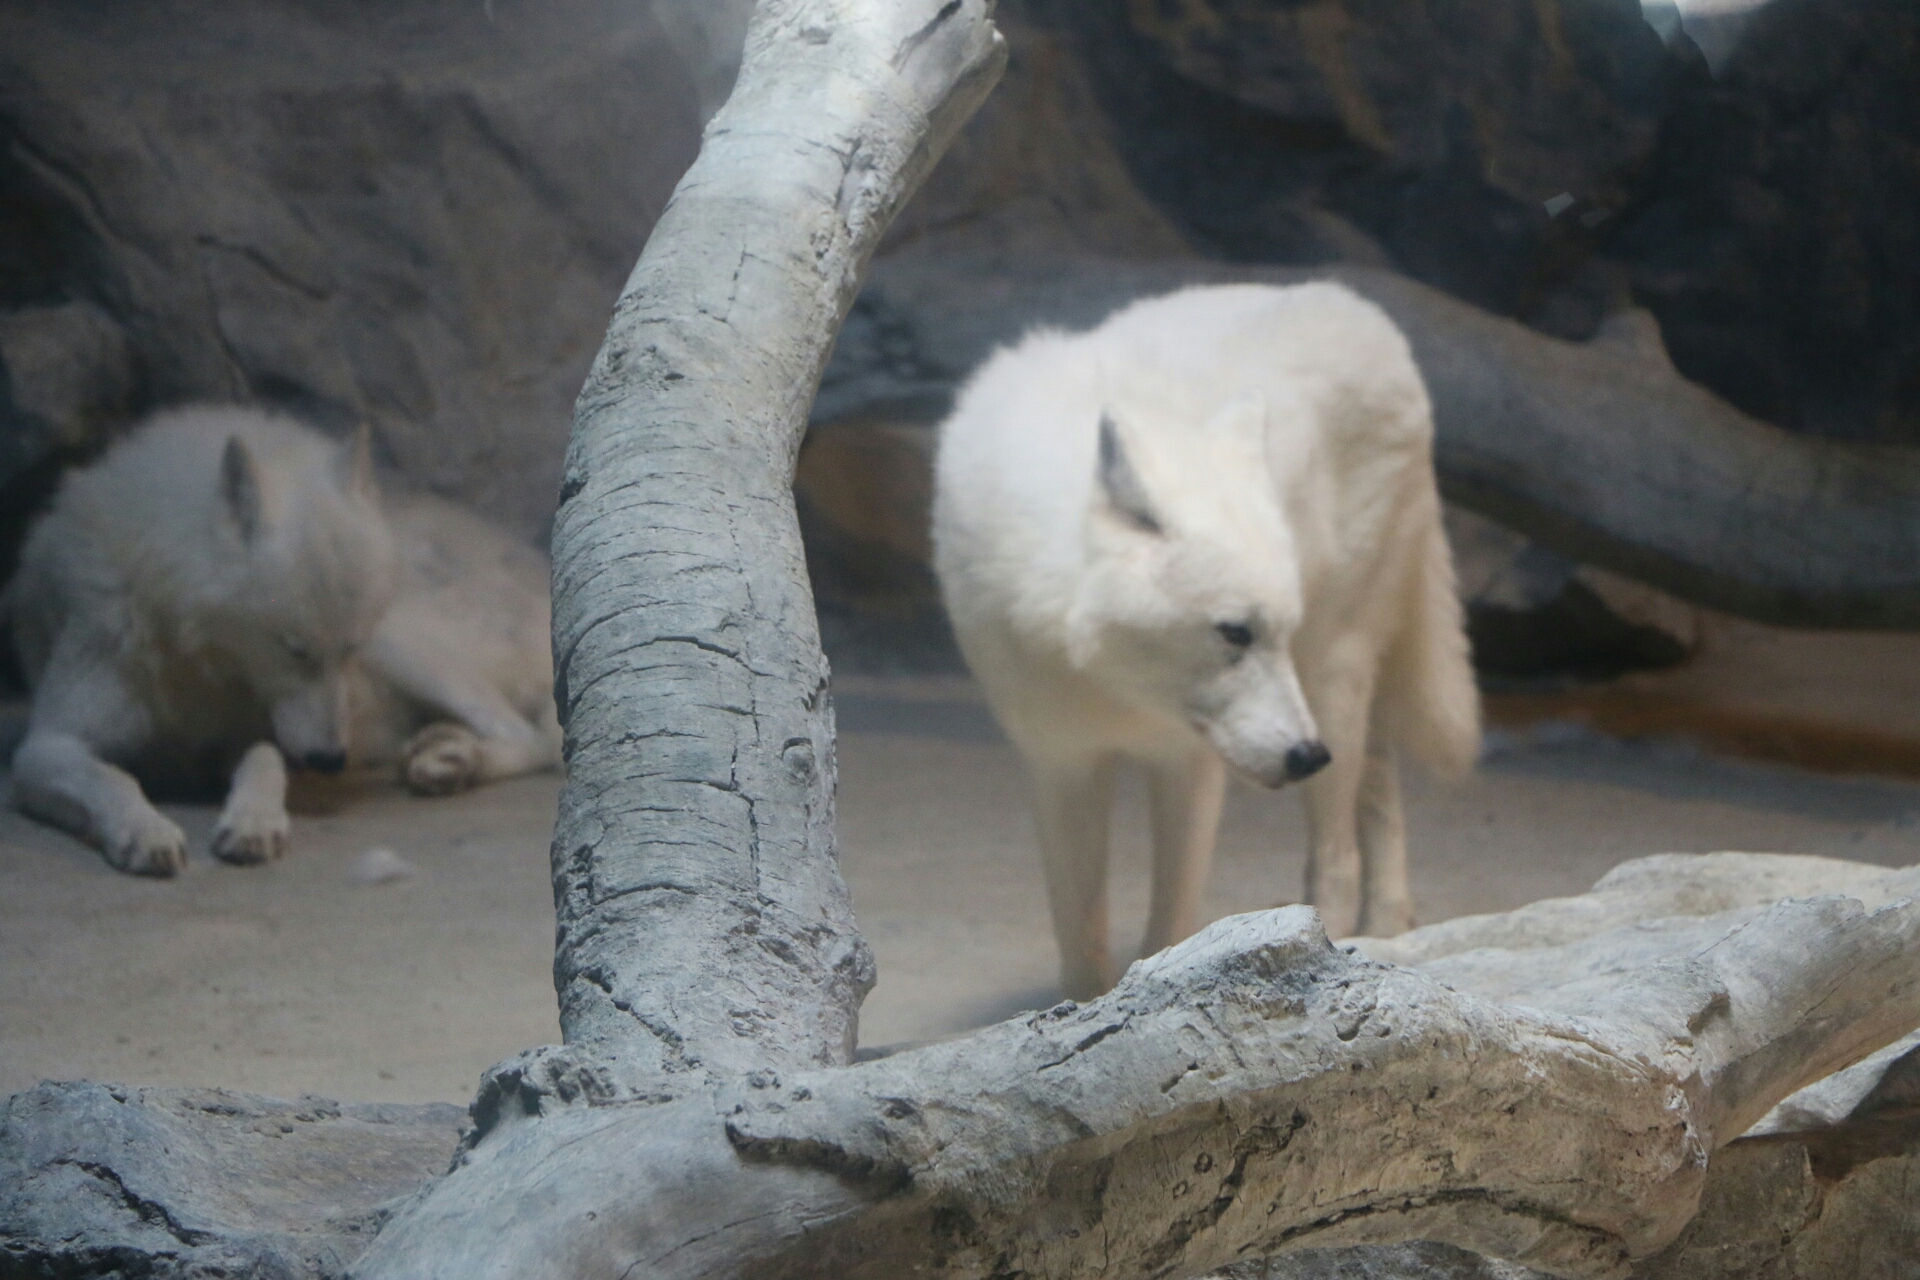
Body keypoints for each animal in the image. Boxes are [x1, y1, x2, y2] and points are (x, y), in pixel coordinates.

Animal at [7, 404, 560, 875]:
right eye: (293, 649)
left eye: (350, 651)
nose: (331, 762)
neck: (195, 658)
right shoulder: (43, 748)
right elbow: (111, 779)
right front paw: (142, 830)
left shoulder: (257, 730)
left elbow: (265, 760)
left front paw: (255, 823)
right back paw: (446, 747)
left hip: (408, 648)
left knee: (535, 738)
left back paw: (454, 761)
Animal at [936, 282, 1474, 997]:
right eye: (1234, 632)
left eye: (1272, 631)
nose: (1305, 757)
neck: (1114, 683)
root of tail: (1360, 308)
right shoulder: (1060, 762)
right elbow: (1078, 933)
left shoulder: (1188, 763)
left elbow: (1171, 924)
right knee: (1379, 792)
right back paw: (1389, 925)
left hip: (1331, 677)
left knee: (1337, 854)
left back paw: (1345, 942)